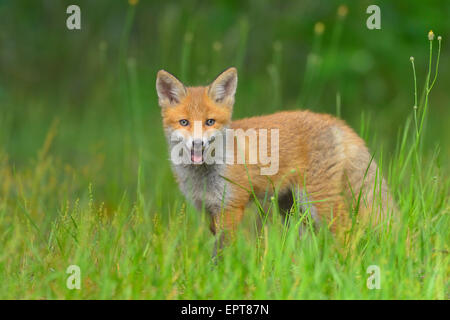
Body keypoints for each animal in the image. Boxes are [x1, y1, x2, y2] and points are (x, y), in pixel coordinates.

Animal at [156, 67, 396, 248]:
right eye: (184, 122)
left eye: (210, 122)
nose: (198, 143)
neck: (204, 176)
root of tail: (334, 120)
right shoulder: (208, 211)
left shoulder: (231, 207)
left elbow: (226, 253)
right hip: (293, 209)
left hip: (319, 202)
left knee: (347, 233)